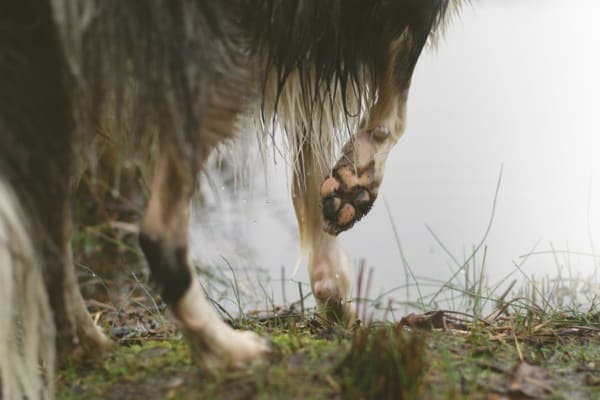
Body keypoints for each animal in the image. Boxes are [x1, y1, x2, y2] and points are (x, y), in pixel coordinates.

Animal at [0, 1, 460, 398]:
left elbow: (312, 155)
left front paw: (335, 293)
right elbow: (396, 98)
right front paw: (358, 180)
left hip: (57, 86)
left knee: (48, 232)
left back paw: (86, 344)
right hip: (216, 57)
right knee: (157, 234)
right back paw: (226, 350)